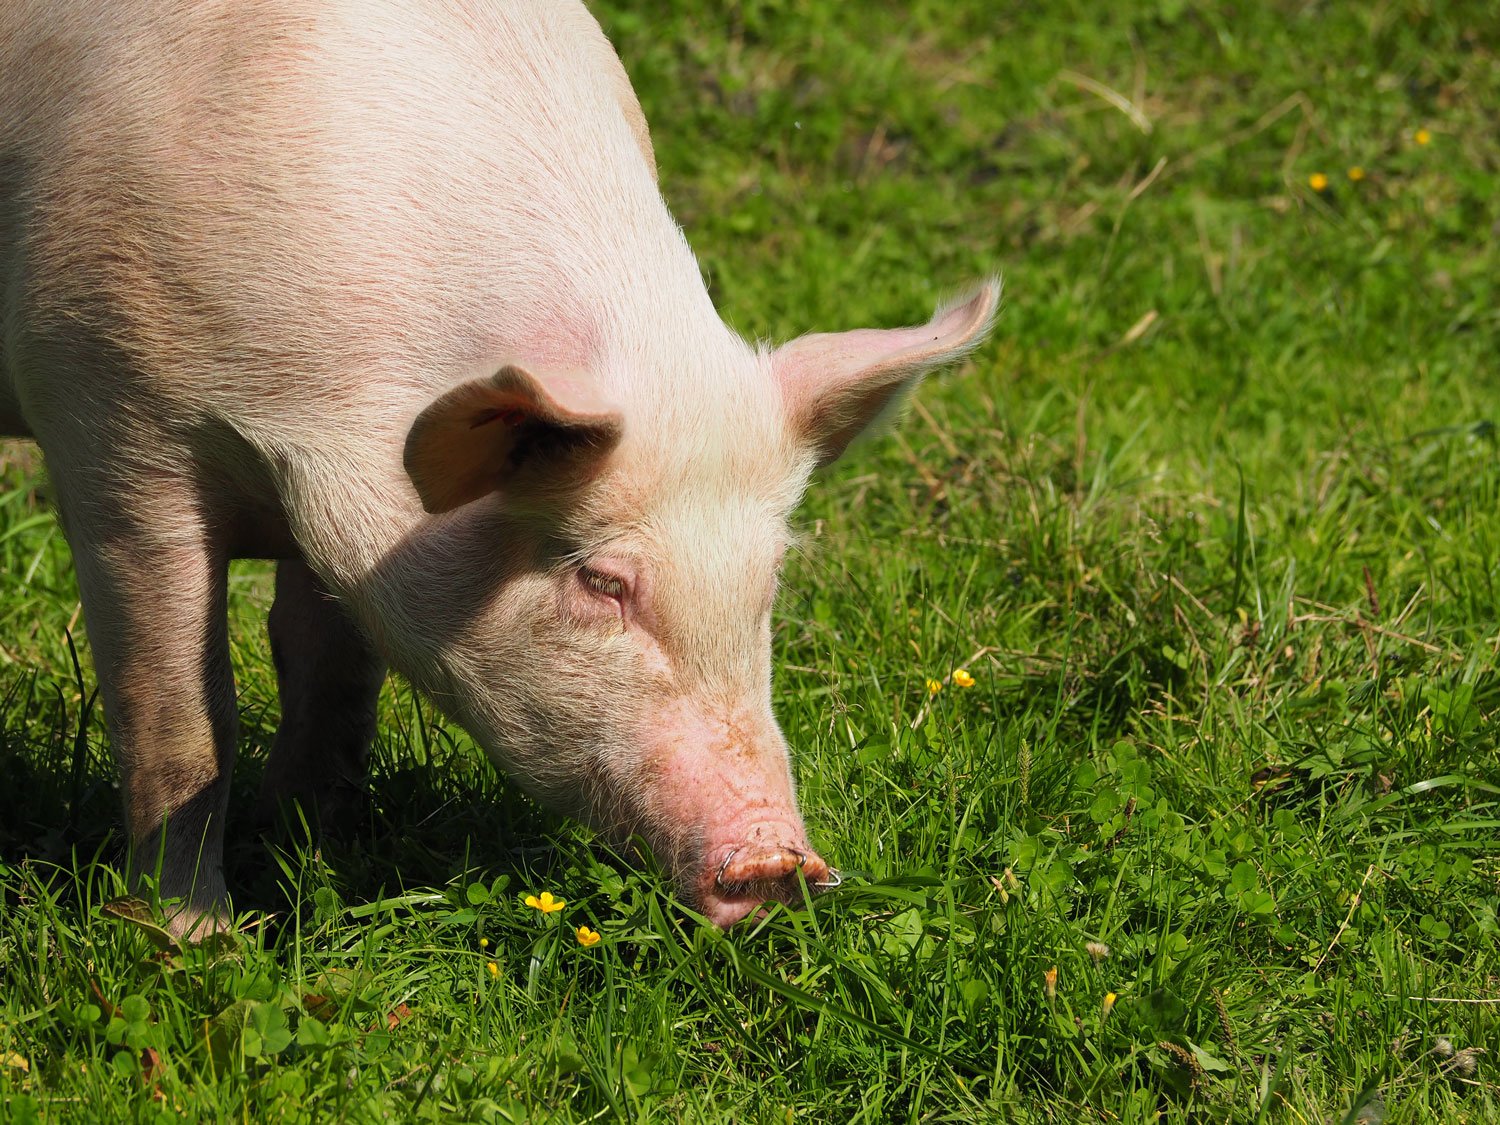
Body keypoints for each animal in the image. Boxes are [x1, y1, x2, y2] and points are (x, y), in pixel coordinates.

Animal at [0, 0, 997, 932]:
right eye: (601, 581)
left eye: (772, 580)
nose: (780, 864)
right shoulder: (112, 418)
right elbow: (179, 713)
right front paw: (195, 938)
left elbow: (329, 667)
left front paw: (309, 843)